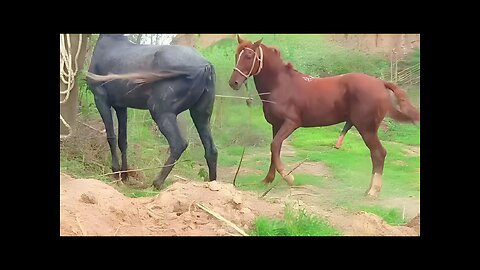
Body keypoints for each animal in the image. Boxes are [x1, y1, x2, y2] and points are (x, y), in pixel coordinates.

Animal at [86, 34, 218, 190]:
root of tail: (204, 65)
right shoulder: (121, 106)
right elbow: (122, 140)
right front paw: (125, 175)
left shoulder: (100, 99)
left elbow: (111, 136)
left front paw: (116, 172)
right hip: (201, 115)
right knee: (211, 150)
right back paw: (213, 184)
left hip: (161, 112)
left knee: (178, 144)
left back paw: (157, 182)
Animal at [227, 35, 418, 198]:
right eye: (237, 54)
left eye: (249, 56)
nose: (233, 83)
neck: (281, 85)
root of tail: (380, 83)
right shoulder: (276, 125)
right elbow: (274, 149)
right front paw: (268, 179)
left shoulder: (291, 123)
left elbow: (275, 146)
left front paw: (289, 178)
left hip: (367, 128)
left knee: (379, 153)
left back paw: (373, 190)